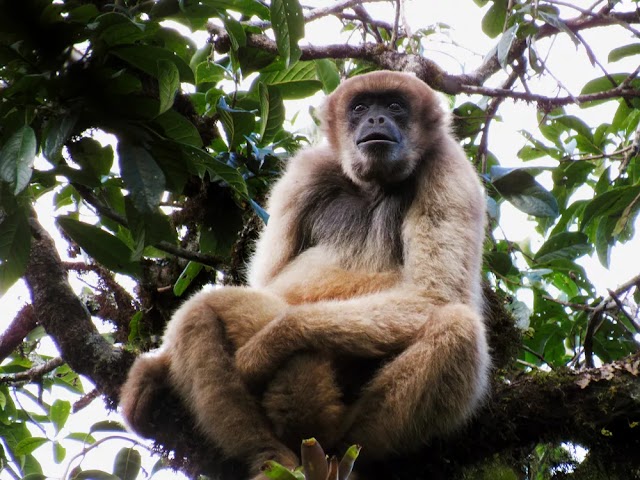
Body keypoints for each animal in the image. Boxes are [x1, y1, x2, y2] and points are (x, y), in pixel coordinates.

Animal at [120, 71, 490, 480]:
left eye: (395, 106)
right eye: (361, 107)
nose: (376, 119)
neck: (373, 186)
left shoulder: (449, 168)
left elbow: (433, 296)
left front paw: (271, 340)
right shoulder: (307, 171)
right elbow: (265, 282)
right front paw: (159, 365)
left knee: (457, 327)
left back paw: (346, 456)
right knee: (198, 318)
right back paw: (265, 454)